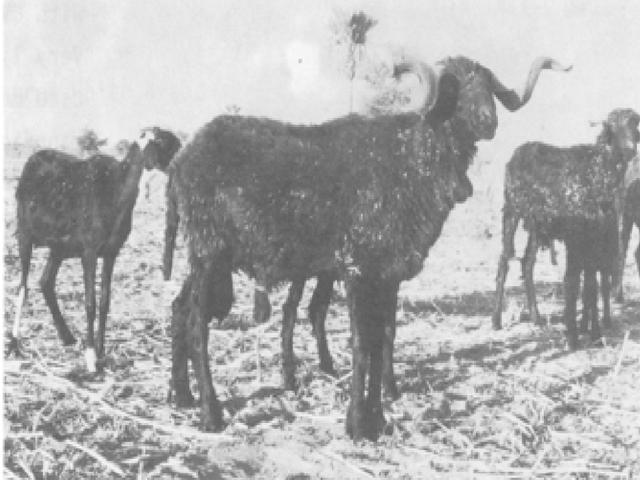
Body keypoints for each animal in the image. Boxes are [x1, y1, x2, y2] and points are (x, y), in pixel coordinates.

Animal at [9, 136, 177, 372]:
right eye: (161, 142)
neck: (116, 186)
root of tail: (33, 159)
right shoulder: (89, 251)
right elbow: (90, 303)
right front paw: (90, 358)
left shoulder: (110, 252)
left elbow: (104, 301)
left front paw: (101, 351)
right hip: (25, 233)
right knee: (23, 288)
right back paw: (15, 343)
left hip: (59, 247)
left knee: (46, 281)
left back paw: (67, 337)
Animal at [168, 56, 569, 440]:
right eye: (453, 88)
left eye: (487, 84)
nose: (489, 121)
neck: (407, 160)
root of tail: (181, 159)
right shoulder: (359, 269)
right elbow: (363, 343)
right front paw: (358, 424)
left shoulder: (389, 273)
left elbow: (383, 339)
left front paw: (378, 415)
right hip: (208, 251)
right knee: (197, 323)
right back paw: (210, 414)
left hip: (208, 258)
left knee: (179, 308)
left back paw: (181, 395)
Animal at [492, 109, 640, 349]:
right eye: (612, 126)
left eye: (635, 123)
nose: (630, 149)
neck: (598, 169)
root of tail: (519, 151)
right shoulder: (577, 236)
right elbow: (574, 282)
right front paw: (576, 335)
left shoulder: (595, 236)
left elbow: (590, 285)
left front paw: (592, 332)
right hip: (512, 209)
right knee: (504, 260)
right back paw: (496, 320)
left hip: (537, 224)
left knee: (527, 262)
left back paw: (536, 317)